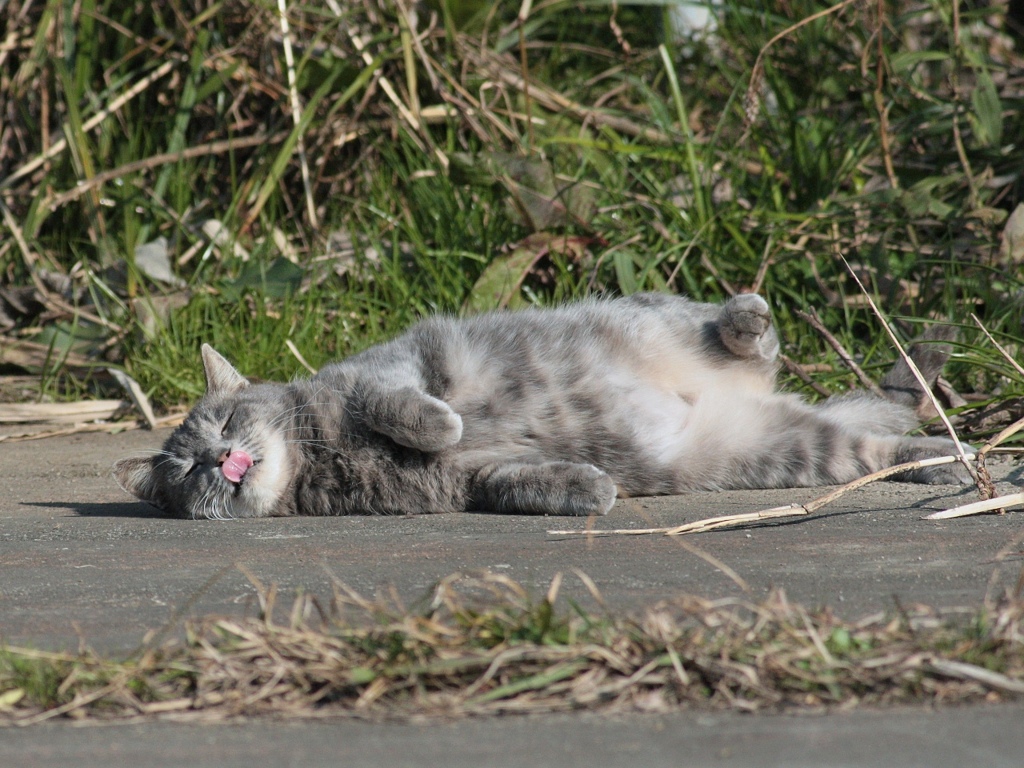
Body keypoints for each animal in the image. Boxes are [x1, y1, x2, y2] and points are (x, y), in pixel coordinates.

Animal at [112, 290, 966, 520]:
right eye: (187, 472)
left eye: (225, 423)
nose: (223, 459)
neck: (320, 458)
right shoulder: (469, 481)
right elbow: (517, 483)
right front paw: (588, 488)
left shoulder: (383, 370)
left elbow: (401, 405)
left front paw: (437, 420)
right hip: (783, 447)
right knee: (872, 447)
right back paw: (943, 462)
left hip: (651, 316)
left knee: (750, 334)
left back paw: (745, 318)